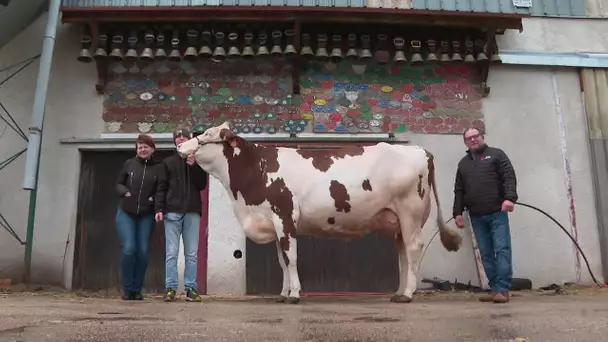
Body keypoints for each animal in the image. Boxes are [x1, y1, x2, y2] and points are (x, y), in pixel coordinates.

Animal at [178, 121, 464, 304]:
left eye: (206, 135)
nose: (180, 146)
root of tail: (419, 150)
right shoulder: (274, 221)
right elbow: (282, 260)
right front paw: (283, 294)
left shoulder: (285, 216)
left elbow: (291, 257)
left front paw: (294, 295)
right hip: (398, 218)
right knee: (404, 252)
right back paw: (399, 291)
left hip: (410, 211)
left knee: (414, 249)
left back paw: (407, 294)